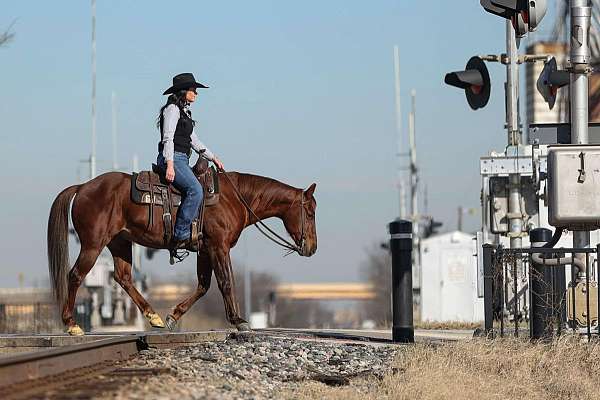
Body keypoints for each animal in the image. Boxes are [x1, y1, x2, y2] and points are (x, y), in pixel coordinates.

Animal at [46, 167, 316, 336]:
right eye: (310, 212)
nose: (312, 248)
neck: (234, 198)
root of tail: (83, 187)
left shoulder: (205, 250)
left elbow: (204, 285)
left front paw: (173, 317)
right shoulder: (219, 246)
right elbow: (226, 282)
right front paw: (239, 321)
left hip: (119, 243)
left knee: (123, 277)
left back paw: (153, 317)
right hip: (93, 244)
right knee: (75, 275)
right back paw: (71, 325)